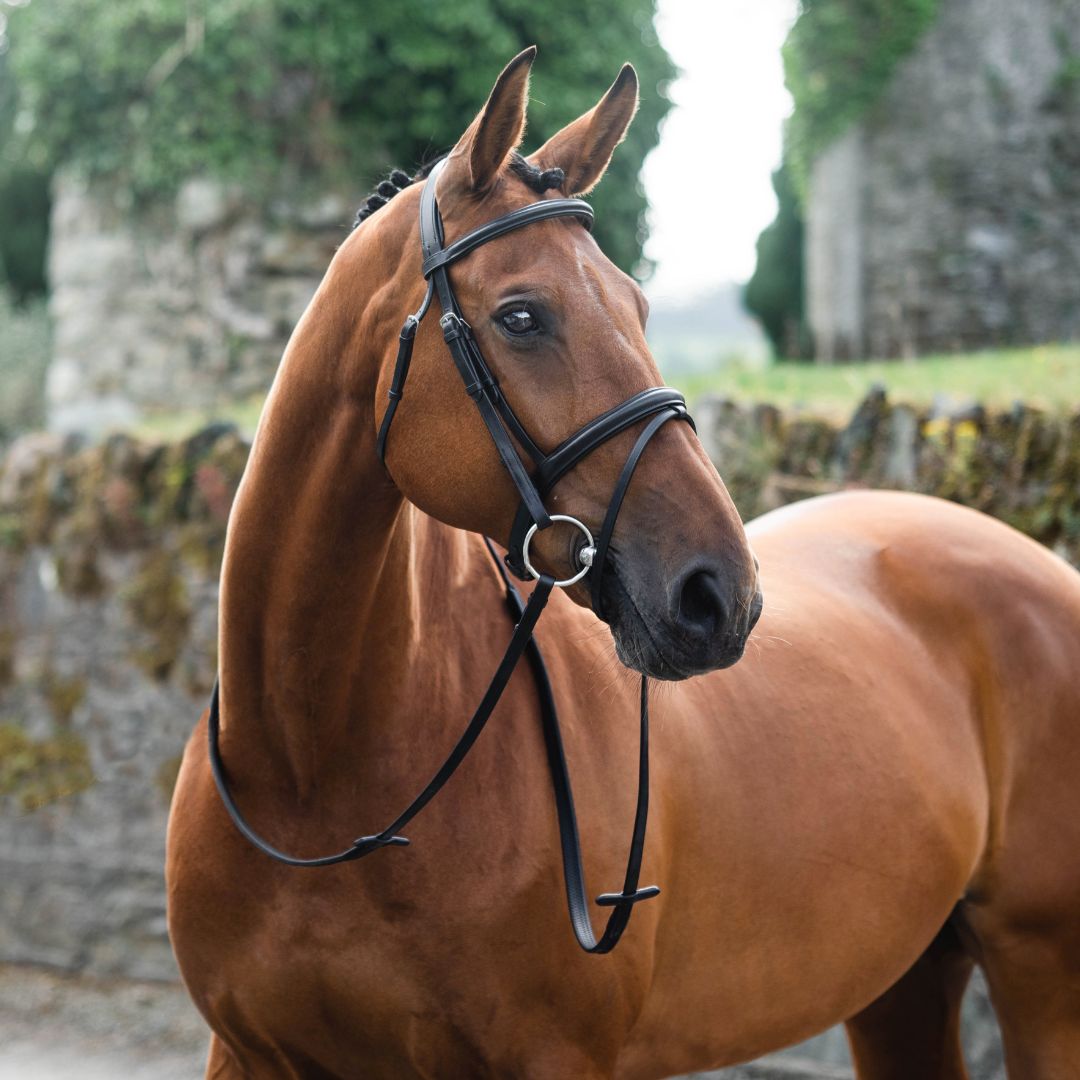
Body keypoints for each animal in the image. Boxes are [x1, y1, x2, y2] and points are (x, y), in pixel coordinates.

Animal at [164, 46, 1080, 1075]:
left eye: (640, 305)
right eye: (522, 316)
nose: (720, 594)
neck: (316, 775)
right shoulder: (245, 1052)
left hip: (1041, 970)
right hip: (903, 984)